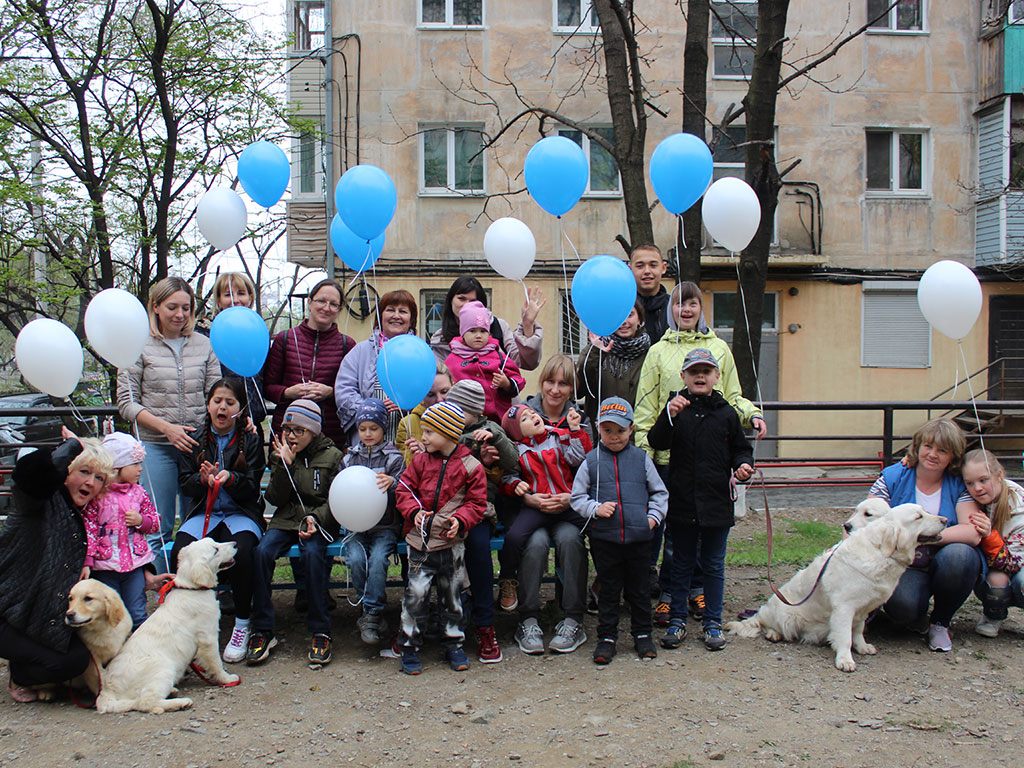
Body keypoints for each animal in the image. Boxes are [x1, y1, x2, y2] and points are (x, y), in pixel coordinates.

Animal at [96, 536, 239, 720]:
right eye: (215, 550)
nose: (235, 544)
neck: (192, 589)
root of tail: (107, 690)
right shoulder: (208, 637)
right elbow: (215, 662)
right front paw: (227, 679)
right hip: (163, 668)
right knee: (146, 702)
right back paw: (181, 703)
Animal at [724, 505, 946, 671]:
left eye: (924, 511)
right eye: (918, 516)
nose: (945, 519)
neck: (880, 553)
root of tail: (763, 611)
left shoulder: (862, 609)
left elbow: (858, 631)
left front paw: (862, 647)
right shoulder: (844, 607)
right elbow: (845, 636)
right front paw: (845, 660)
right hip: (785, 616)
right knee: (768, 625)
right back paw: (773, 634)